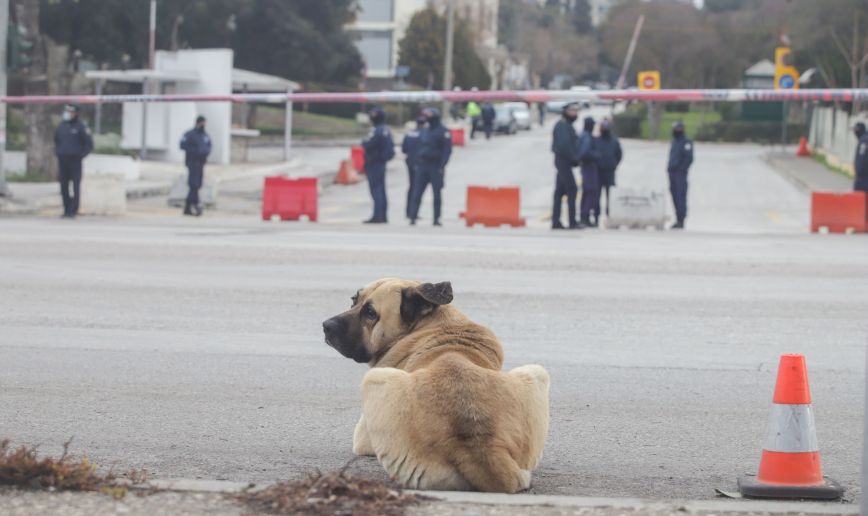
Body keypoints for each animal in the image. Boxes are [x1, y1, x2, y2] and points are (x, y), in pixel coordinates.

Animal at [318, 276, 548, 494]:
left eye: (370, 313)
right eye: (354, 300)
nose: (326, 326)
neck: (430, 324)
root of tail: (482, 446)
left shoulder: (363, 438)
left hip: (374, 379)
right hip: (537, 372)